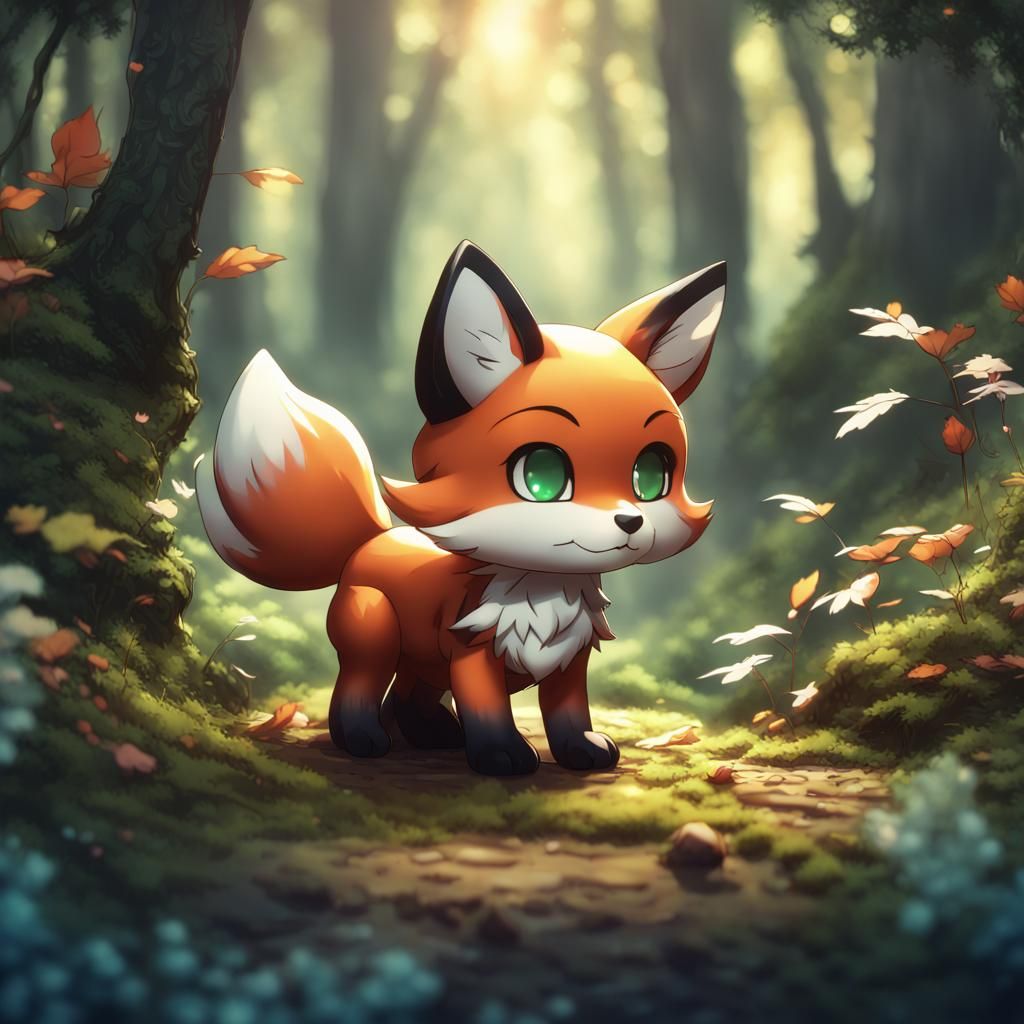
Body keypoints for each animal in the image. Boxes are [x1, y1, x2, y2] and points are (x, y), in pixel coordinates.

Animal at [197, 241, 725, 776]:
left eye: (652, 475)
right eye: (541, 476)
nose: (630, 521)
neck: (543, 591)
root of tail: (372, 537)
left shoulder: (570, 658)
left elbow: (569, 711)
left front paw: (582, 750)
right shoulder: (472, 655)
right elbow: (486, 706)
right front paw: (501, 755)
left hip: (422, 659)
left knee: (408, 693)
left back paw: (432, 733)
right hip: (375, 630)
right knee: (360, 684)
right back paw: (363, 737)